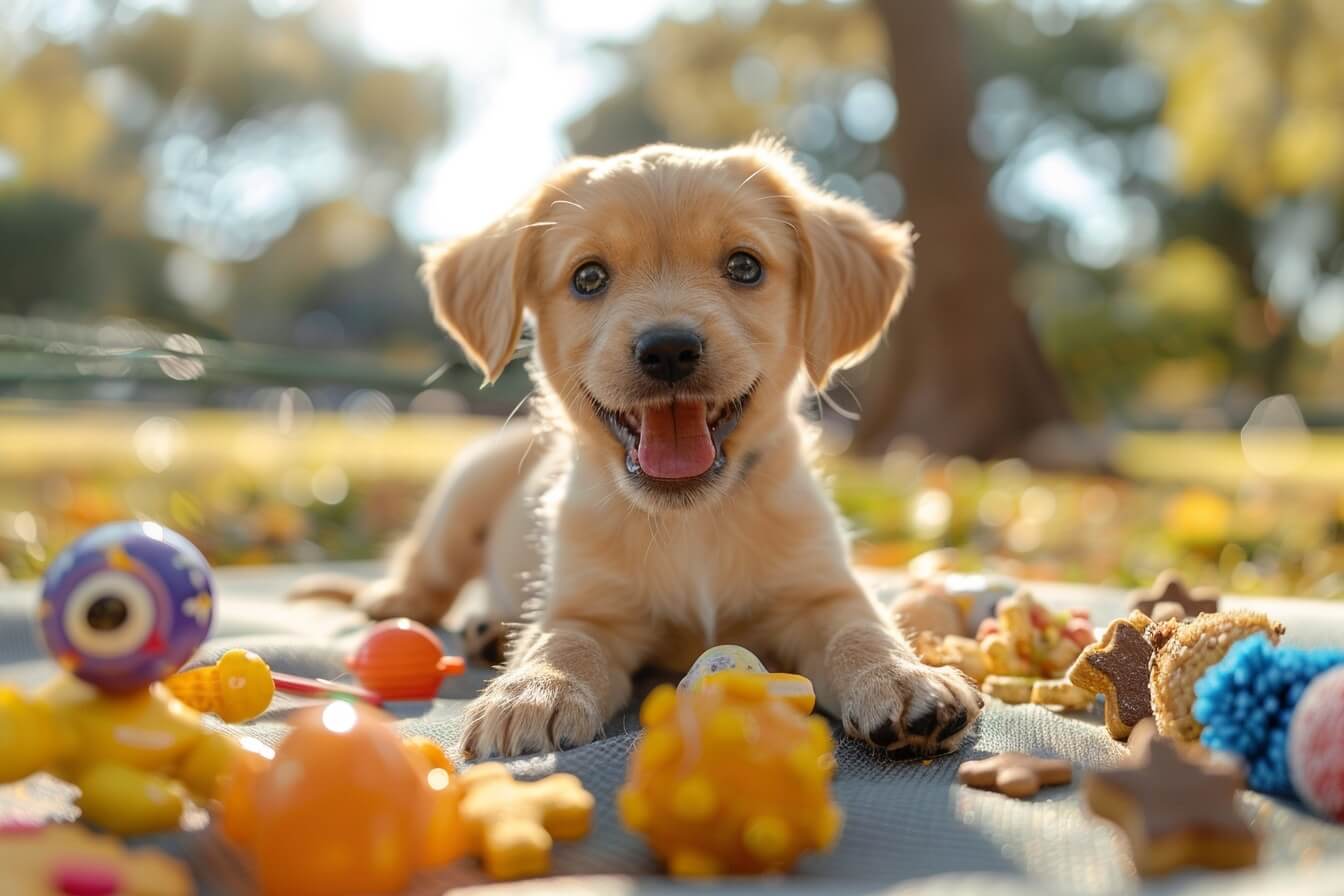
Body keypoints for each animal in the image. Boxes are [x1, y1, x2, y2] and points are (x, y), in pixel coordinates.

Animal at [294, 140, 983, 757]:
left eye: (745, 266)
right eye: (589, 277)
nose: (669, 349)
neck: (691, 522)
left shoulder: (821, 591)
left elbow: (863, 630)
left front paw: (902, 678)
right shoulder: (587, 608)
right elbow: (561, 641)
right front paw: (534, 691)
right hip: (459, 502)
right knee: (427, 568)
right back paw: (406, 602)